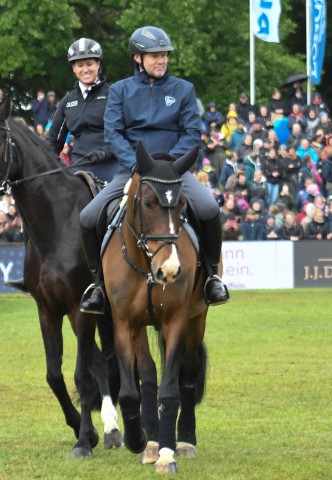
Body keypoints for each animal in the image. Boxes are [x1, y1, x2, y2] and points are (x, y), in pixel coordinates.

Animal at [0, 99, 122, 456]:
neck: (56, 224)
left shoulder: (79, 308)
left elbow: (81, 374)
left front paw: (82, 441)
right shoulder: (48, 309)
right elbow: (55, 374)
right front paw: (86, 430)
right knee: (103, 361)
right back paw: (111, 427)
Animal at [102, 142, 209, 472]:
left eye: (182, 204)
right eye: (149, 203)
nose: (170, 270)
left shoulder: (177, 321)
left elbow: (172, 389)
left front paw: (166, 453)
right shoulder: (124, 322)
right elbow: (129, 390)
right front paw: (138, 440)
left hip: (197, 319)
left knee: (188, 374)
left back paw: (184, 440)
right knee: (148, 373)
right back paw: (149, 440)